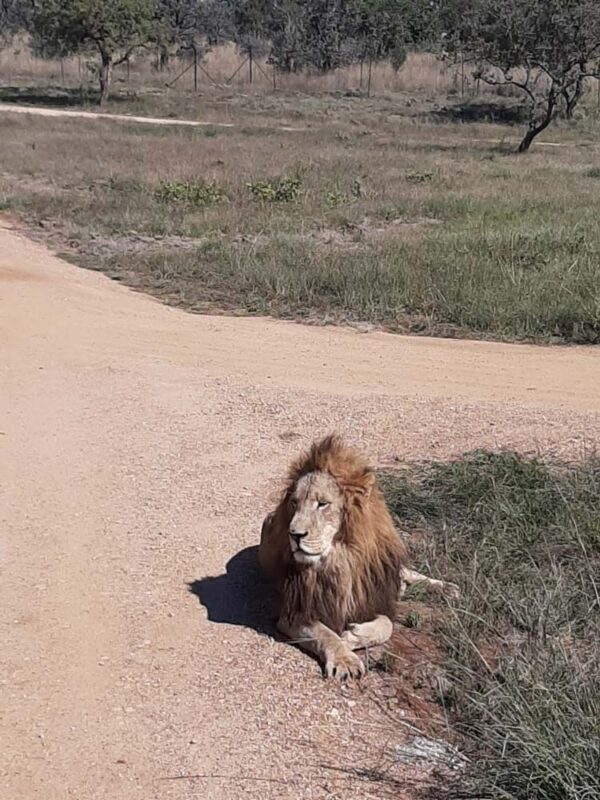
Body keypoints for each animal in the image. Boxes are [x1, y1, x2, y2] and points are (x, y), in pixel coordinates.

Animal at [258, 434, 460, 680]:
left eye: (322, 504)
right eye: (294, 503)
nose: (294, 534)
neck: (341, 559)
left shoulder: (372, 598)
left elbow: (386, 625)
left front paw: (352, 636)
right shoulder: (294, 613)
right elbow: (325, 634)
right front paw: (345, 658)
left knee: (407, 573)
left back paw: (447, 588)